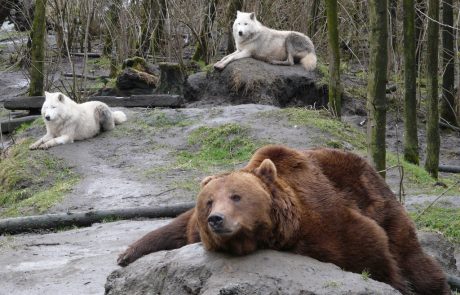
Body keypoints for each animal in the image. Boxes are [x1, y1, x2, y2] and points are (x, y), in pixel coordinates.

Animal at [117, 146, 450, 295]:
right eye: (209, 200)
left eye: (236, 196)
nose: (216, 219)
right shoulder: (193, 230)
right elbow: (177, 227)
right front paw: (126, 254)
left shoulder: (331, 222)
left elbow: (373, 255)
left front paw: (398, 284)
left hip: (381, 204)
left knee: (412, 257)